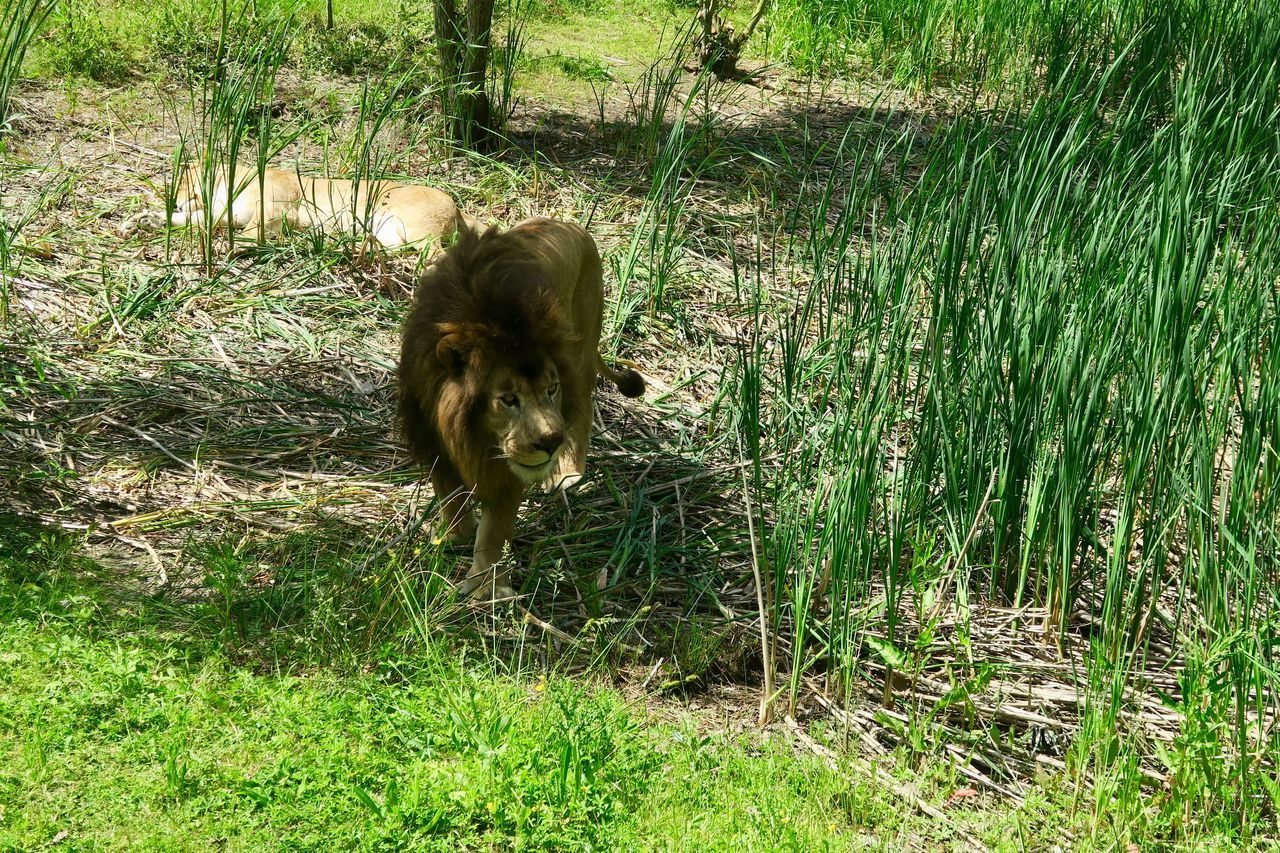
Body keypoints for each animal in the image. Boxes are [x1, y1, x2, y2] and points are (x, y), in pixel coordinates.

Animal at [120, 159, 476, 251]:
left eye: (182, 181)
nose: (176, 201)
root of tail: (458, 206)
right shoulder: (224, 214)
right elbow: (193, 220)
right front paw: (143, 220)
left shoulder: (276, 208)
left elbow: (251, 232)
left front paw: (226, 247)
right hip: (389, 231)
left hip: (416, 228)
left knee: (435, 258)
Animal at [396, 216, 645, 601]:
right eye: (509, 399)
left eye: (550, 389)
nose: (551, 443)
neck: (472, 434)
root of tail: (570, 224)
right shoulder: (431, 435)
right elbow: (450, 494)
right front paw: (454, 537)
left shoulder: (508, 469)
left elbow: (494, 529)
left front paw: (484, 587)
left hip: (581, 352)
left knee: (584, 410)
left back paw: (568, 475)